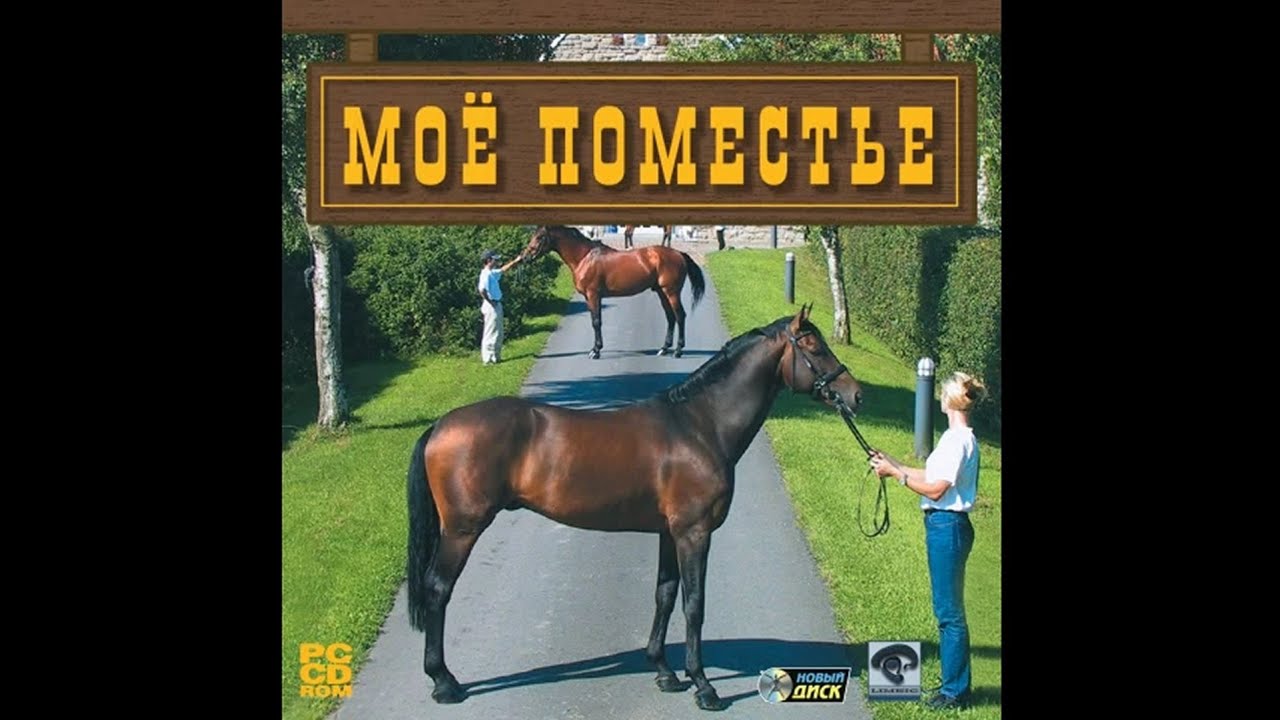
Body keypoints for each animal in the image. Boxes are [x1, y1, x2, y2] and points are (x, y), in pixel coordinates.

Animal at [406, 305, 863, 711]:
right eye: (814, 346)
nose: (855, 395)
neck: (700, 426)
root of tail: (441, 425)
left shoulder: (669, 533)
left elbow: (664, 594)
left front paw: (664, 672)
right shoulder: (694, 533)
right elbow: (694, 604)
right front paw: (704, 686)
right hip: (462, 530)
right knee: (438, 589)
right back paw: (444, 682)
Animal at [522, 225, 705, 359]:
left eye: (540, 237)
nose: (525, 257)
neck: (584, 257)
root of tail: (678, 254)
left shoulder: (593, 295)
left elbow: (596, 322)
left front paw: (595, 351)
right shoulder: (590, 298)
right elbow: (595, 320)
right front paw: (596, 349)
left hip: (672, 292)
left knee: (680, 316)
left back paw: (678, 351)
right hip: (661, 292)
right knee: (670, 317)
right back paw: (664, 349)